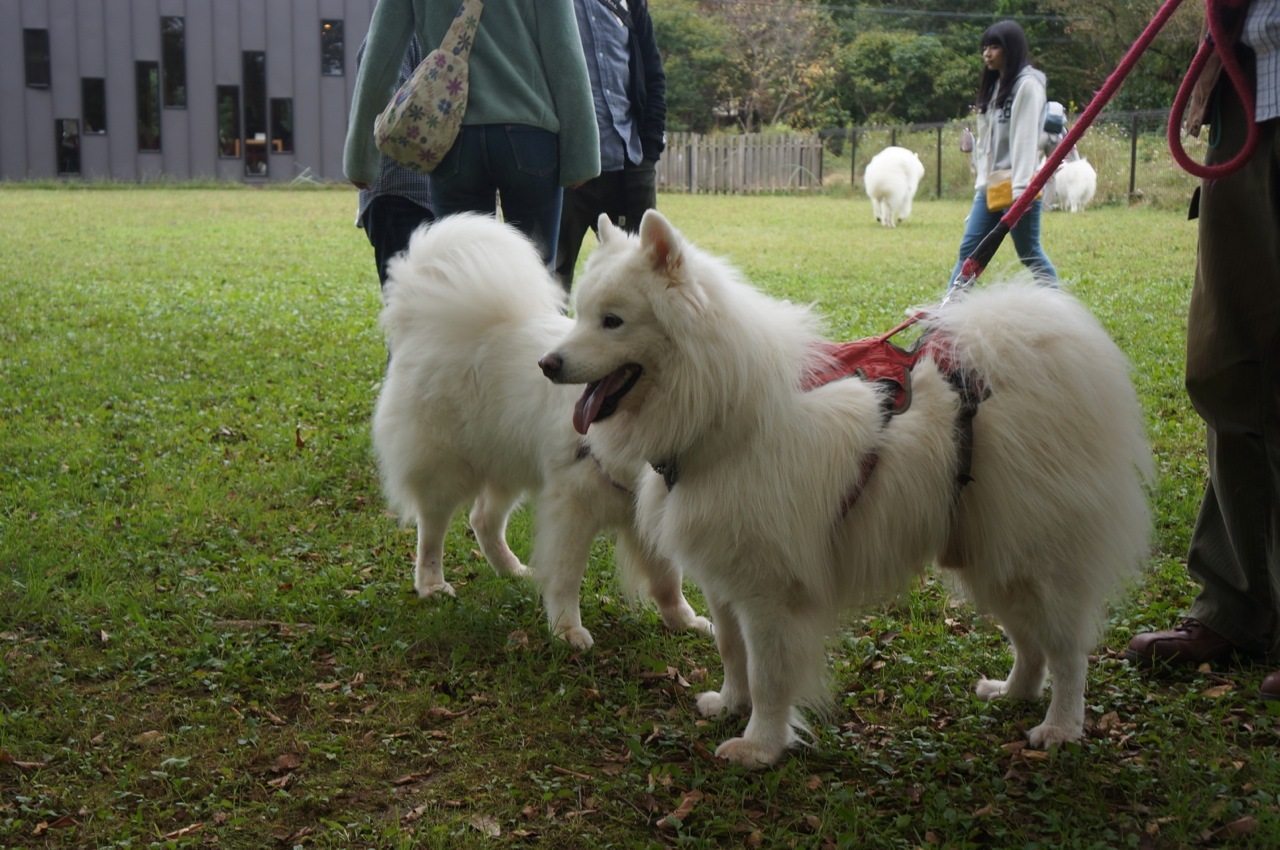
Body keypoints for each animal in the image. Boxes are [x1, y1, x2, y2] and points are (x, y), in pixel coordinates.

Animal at [373, 213, 711, 650]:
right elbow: (566, 575)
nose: (547, 365)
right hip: (447, 470)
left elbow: (669, 577)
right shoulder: (572, 502)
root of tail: (430, 319)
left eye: (612, 322)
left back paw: (512, 570)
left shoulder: (650, 511)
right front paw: (567, 629)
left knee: (483, 519)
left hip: (508, 462)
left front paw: (683, 621)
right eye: (586, 318)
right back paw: (431, 584)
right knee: (431, 529)